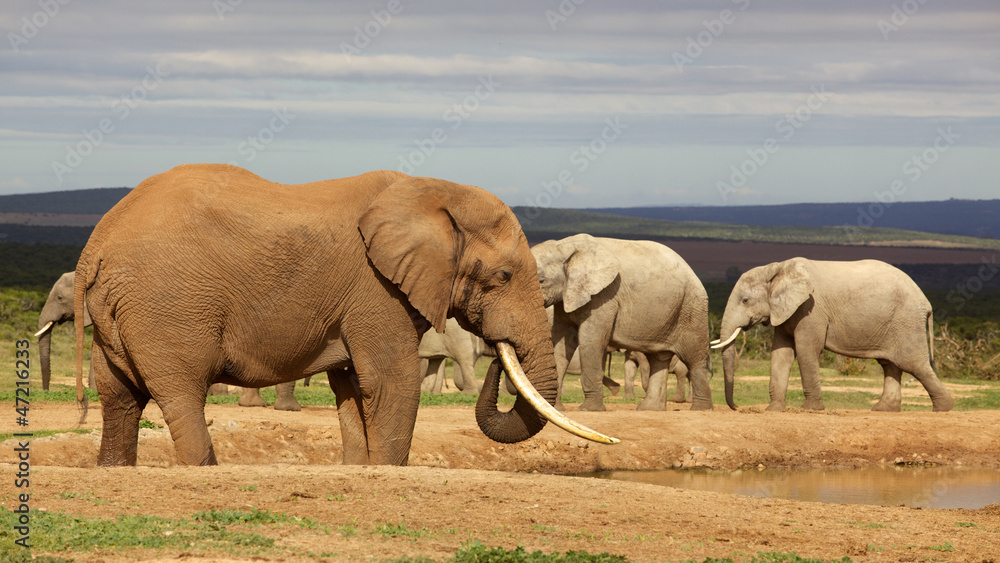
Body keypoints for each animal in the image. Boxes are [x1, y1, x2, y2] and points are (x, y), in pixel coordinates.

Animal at [73, 164, 616, 466]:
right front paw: (389, 470)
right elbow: (391, 380)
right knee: (181, 393)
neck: (431, 191)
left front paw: (362, 467)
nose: (499, 360)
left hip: (118, 313)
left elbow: (353, 386)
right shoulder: (375, 288)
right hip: (168, 307)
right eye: (503, 276)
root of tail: (95, 245)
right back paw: (201, 466)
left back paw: (113, 468)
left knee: (119, 397)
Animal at [533, 234, 713, 412]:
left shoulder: (604, 297)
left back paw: (701, 409)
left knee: (693, 358)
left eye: (541, 281)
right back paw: (648, 409)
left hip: (692, 308)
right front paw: (555, 408)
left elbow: (590, 342)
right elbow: (560, 344)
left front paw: (588, 410)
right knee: (658, 358)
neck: (563, 246)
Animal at [712, 257, 954, 413]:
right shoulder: (784, 311)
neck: (777, 268)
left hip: (906, 321)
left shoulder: (811, 308)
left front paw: (810, 410)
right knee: (890, 365)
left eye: (745, 300)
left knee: (913, 364)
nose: (736, 407)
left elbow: (806, 350)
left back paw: (942, 409)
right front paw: (773, 410)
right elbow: (781, 353)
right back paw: (883, 410)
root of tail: (926, 301)